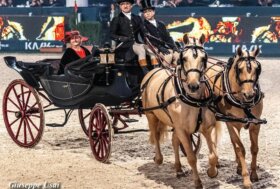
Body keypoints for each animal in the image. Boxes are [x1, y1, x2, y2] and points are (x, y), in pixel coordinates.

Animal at [141, 34, 222, 189]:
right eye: (183, 58)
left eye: (204, 58)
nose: (193, 86)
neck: (194, 100)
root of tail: (153, 72)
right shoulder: (182, 130)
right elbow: (191, 157)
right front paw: (197, 182)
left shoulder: (206, 128)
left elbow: (213, 155)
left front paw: (212, 172)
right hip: (151, 115)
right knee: (155, 135)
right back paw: (158, 158)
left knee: (174, 142)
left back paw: (178, 168)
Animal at [206, 46, 264, 188]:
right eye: (240, 69)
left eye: (257, 68)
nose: (249, 94)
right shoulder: (232, 123)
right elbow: (240, 149)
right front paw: (246, 179)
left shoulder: (255, 123)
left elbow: (254, 148)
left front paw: (254, 174)